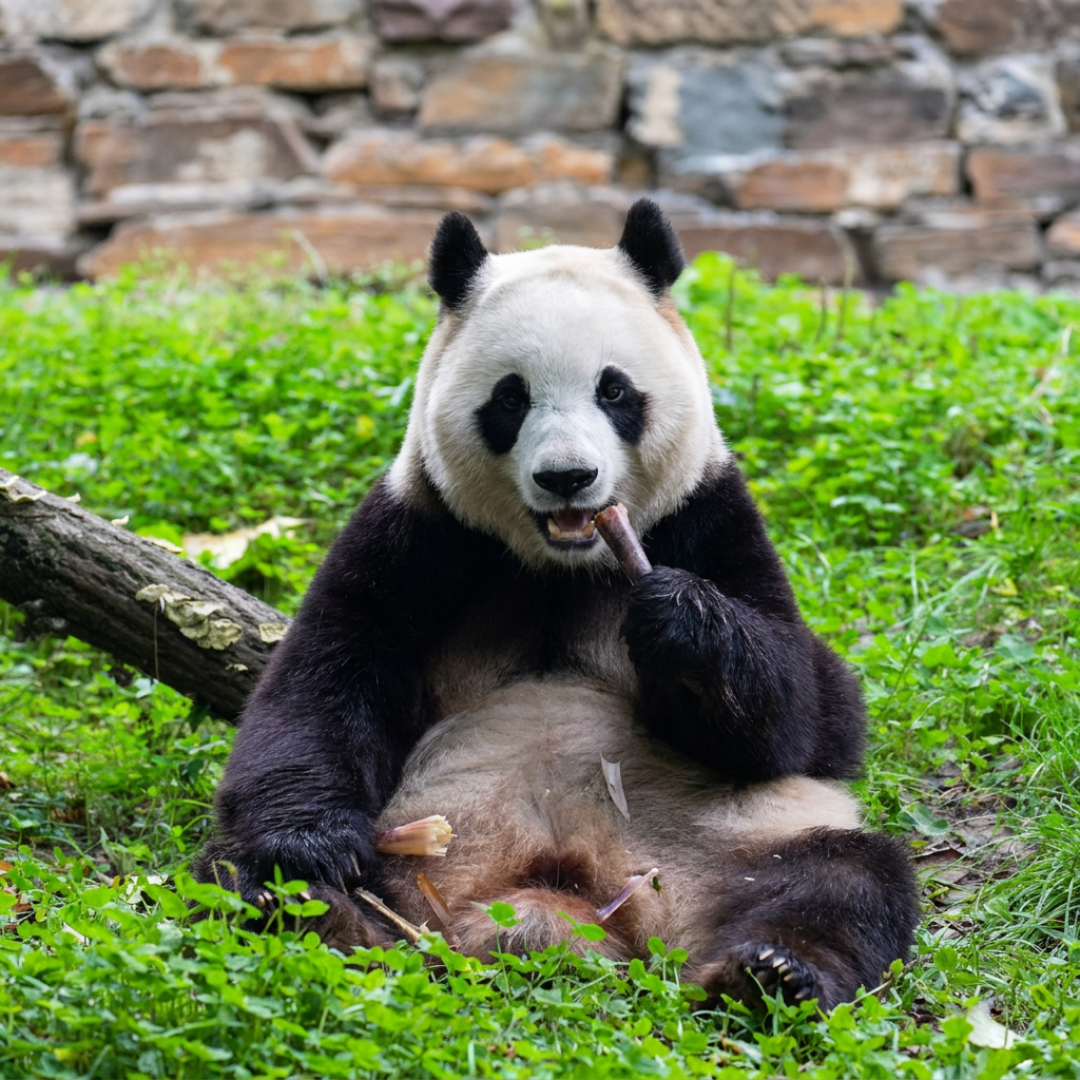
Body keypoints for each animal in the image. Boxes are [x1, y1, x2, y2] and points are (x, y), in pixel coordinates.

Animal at [195, 199, 918, 1010]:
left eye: (615, 390)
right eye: (511, 397)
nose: (568, 477)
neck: (561, 565)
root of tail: (551, 904)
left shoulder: (709, 518)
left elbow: (811, 717)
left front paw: (682, 624)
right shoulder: (419, 531)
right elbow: (324, 675)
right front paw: (312, 848)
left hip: (724, 843)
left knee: (846, 877)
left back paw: (771, 972)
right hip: (412, 851)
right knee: (230, 873)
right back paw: (315, 913)